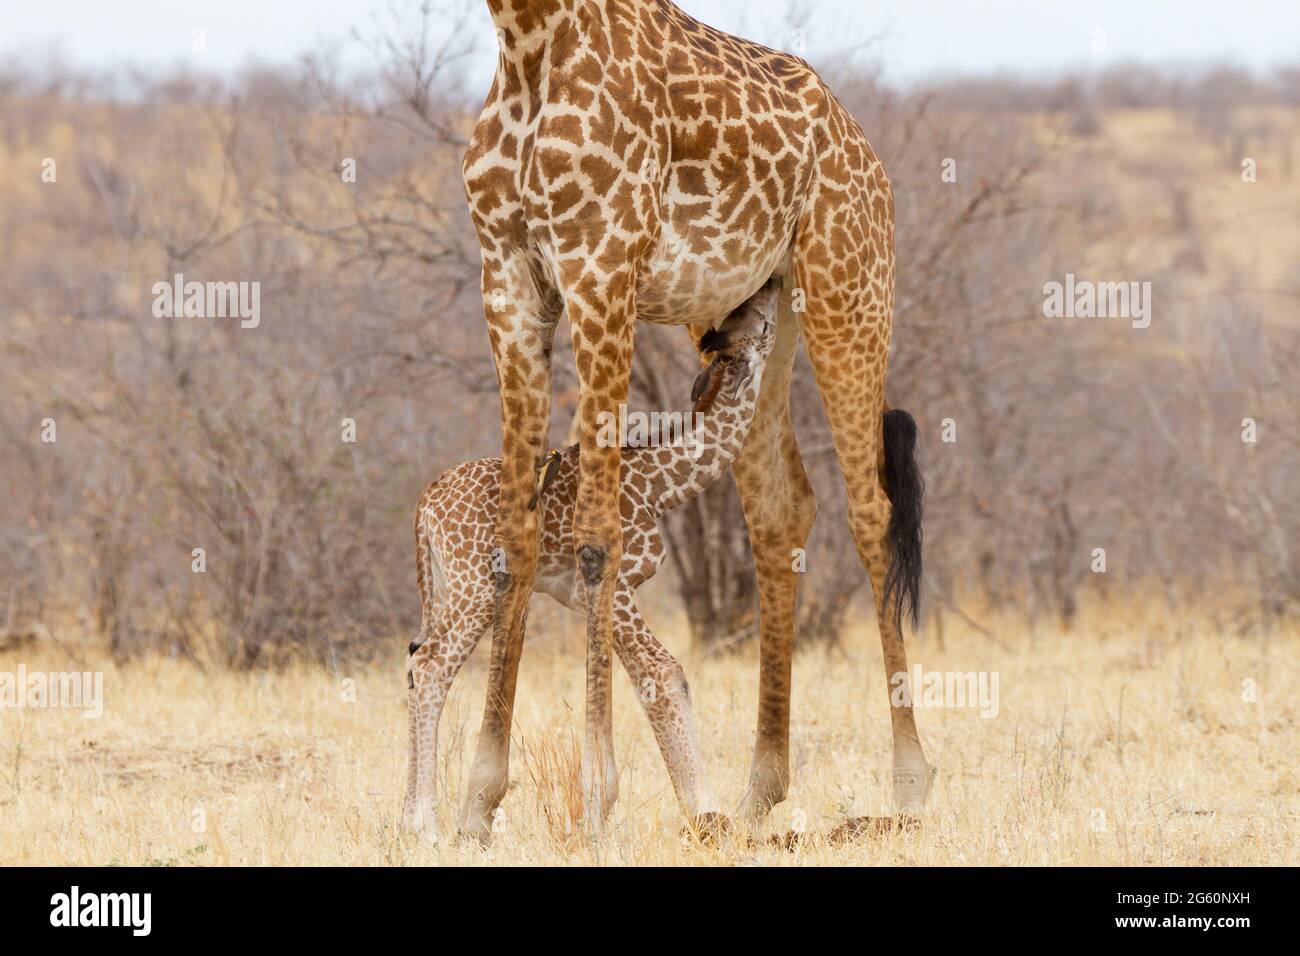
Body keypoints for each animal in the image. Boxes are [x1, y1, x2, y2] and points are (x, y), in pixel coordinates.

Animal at [400, 277, 774, 842]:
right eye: (756, 321)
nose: (771, 289)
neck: (663, 486)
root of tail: (426, 501)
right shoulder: (616, 586)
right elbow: (665, 675)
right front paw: (706, 814)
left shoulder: (588, 597)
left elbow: (647, 681)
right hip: (475, 588)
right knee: (429, 667)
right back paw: (426, 826)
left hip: (444, 587)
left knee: (417, 662)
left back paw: (409, 819)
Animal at [457, 0, 925, 837]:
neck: (526, 37)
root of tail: (865, 152)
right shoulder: (508, 277)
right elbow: (518, 529)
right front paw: (477, 803)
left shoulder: (601, 270)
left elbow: (596, 534)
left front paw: (595, 803)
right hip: (758, 309)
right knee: (780, 506)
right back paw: (758, 793)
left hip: (849, 290)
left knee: (870, 510)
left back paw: (907, 788)